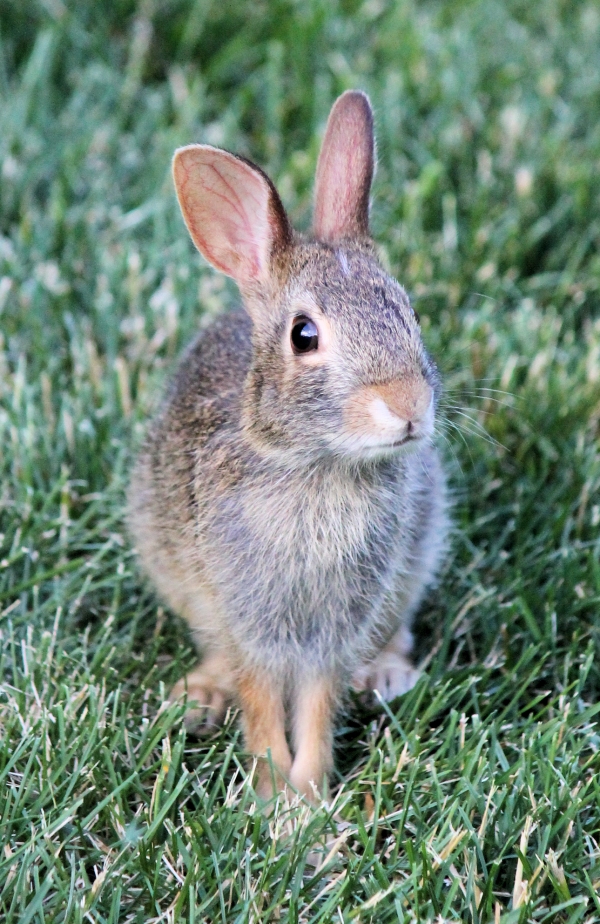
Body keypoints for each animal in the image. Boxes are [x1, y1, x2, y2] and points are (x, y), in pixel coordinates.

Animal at [128, 90, 450, 801]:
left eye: (410, 313)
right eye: (305, 335)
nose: (409, 408)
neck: (314, 463)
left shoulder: (336, 625)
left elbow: (320, 700)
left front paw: (308, 798)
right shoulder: (248, 613)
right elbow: (258, 692)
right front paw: (275, 794)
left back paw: (386, 676)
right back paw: (200, 696)